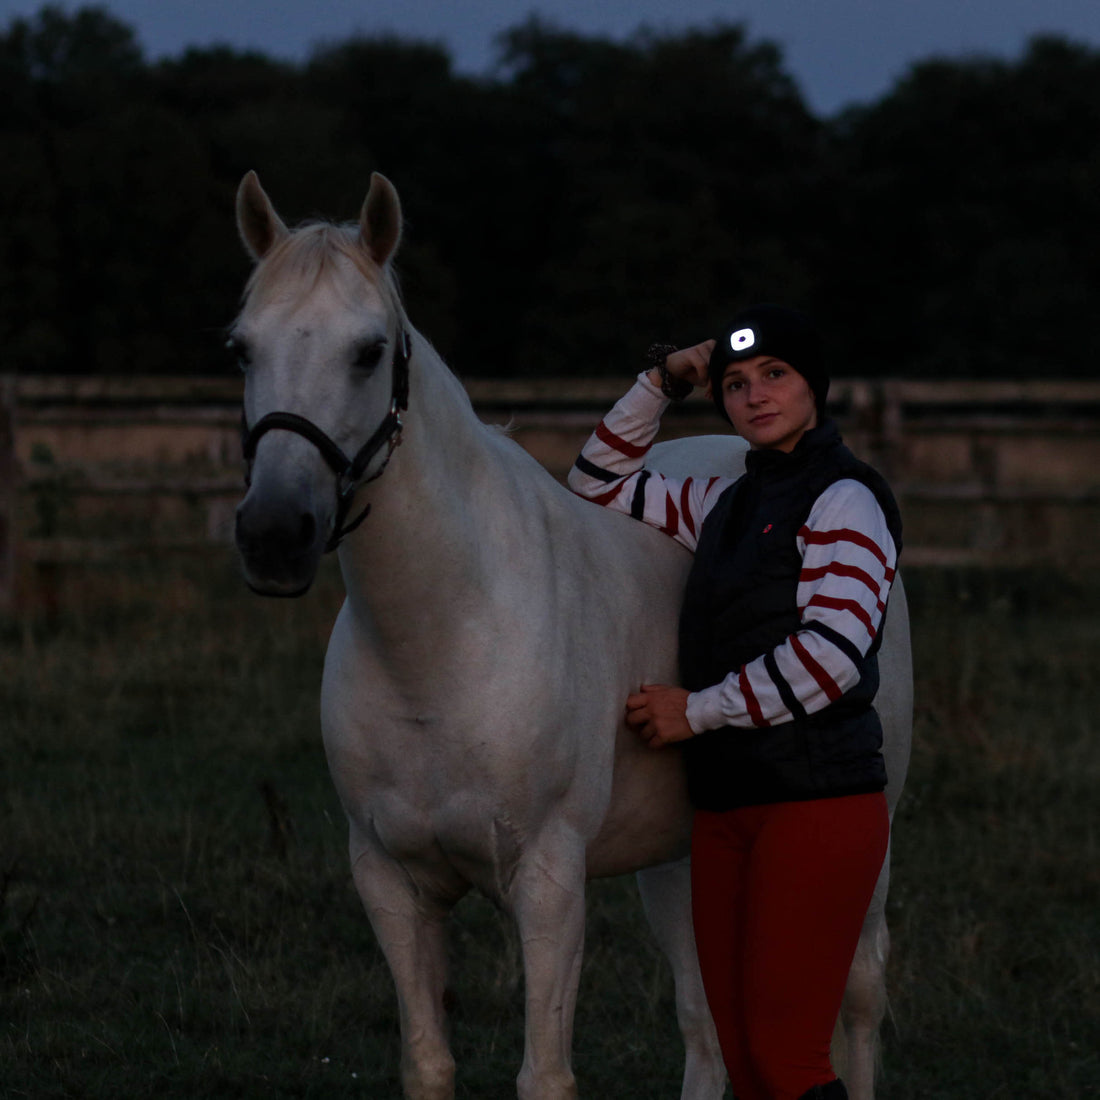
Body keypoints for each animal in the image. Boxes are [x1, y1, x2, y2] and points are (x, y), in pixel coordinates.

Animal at [232, 171, 910, 1100]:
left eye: (368, 351)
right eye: (242, 349)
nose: (273, 535)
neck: (444, 640)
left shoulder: (550, 882)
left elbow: (544, 1075)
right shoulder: (389, 882)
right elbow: (427, 1063)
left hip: (865, 850)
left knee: (860, 1002)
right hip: (681, 861)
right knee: (707, 1024)